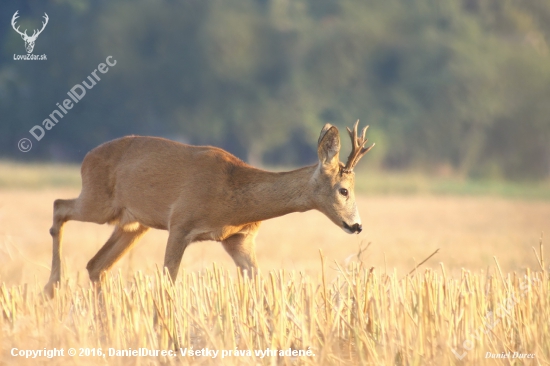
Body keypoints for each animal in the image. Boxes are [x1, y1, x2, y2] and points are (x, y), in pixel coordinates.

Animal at [45, 120, 376, 298]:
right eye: (344, 190)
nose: (357, 225)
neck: (233, 198)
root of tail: (86, 157)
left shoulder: (239, 240)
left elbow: (258, 282)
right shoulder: (180, 224)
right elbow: (168, 281)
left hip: (133, 224)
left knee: (95, 265)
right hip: (98, 202)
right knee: (59, 206)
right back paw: (52, 286)